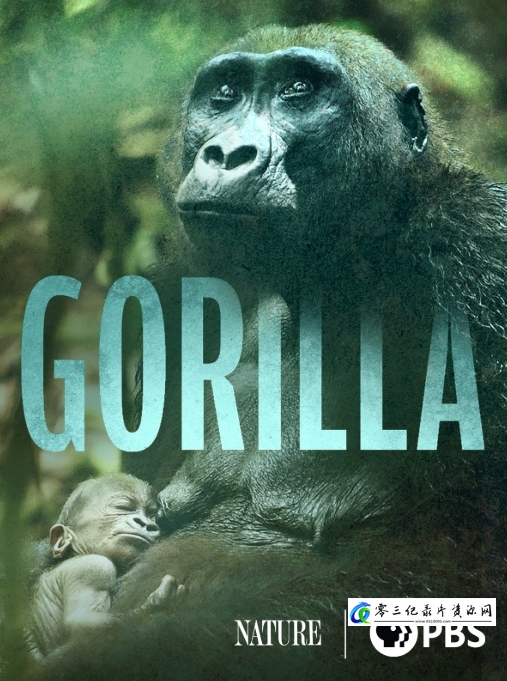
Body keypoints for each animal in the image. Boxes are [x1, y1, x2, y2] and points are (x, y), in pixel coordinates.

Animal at [27, 474, 185, 659]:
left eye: (152, 515)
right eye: (123, 507)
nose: (146, 523)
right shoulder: (94, 568)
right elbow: (82, 622)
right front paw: (155, 605)